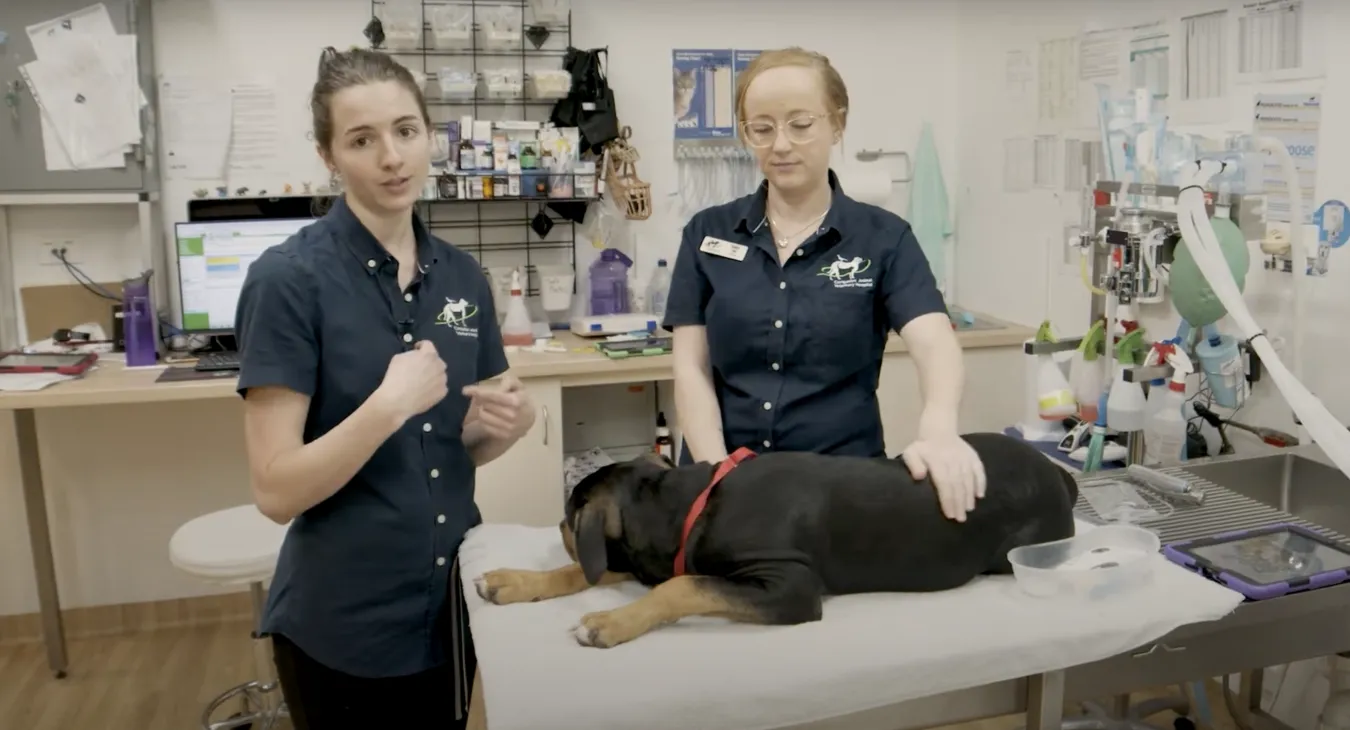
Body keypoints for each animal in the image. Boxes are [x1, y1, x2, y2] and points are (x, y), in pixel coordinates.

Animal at [472, 429, 1074, 644]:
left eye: (568, 516)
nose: (557, 526)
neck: (692, 507)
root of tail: (1056, 473)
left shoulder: (790, 585)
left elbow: (683, 586)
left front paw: (609, 622)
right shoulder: (647, 556)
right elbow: (580, 569)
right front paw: (510, 581)